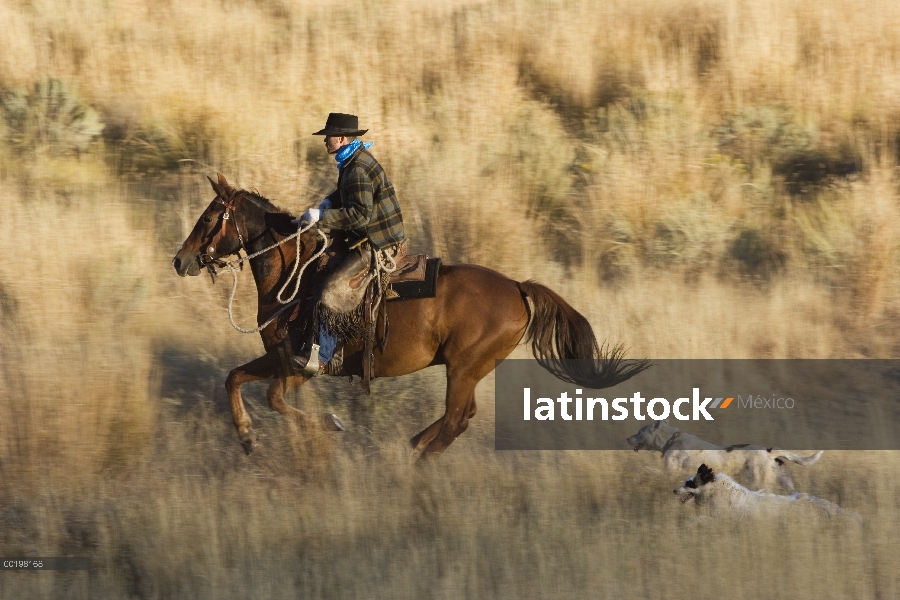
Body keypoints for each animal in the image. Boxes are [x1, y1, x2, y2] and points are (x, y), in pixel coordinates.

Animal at [172, 173, 652, 454]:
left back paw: (419, 458)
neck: (298, 275)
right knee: (464, 417)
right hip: (469, 369)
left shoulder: (304, 365)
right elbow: (234, 377)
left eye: (210, 217)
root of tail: (518, 287)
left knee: (457, 420)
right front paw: (247, 437)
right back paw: (416, 442)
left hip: (463, 368)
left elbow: (274, 397)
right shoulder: (279, 357)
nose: (180, 260)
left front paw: (329, 426)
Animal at [624, 420, 824, 490]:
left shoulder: (668, 473)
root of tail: (769, 451)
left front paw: (634, 471)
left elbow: (643, 468)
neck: (671, 439)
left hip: (758, 481)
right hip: (786, 483)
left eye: (640, 431)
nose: (626, 438)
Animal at [676, 462, 856, 524]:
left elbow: (698, 519)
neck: (718, 491)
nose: (674, 490)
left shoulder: (720, 519)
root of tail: (811, 501)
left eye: (690, 483)